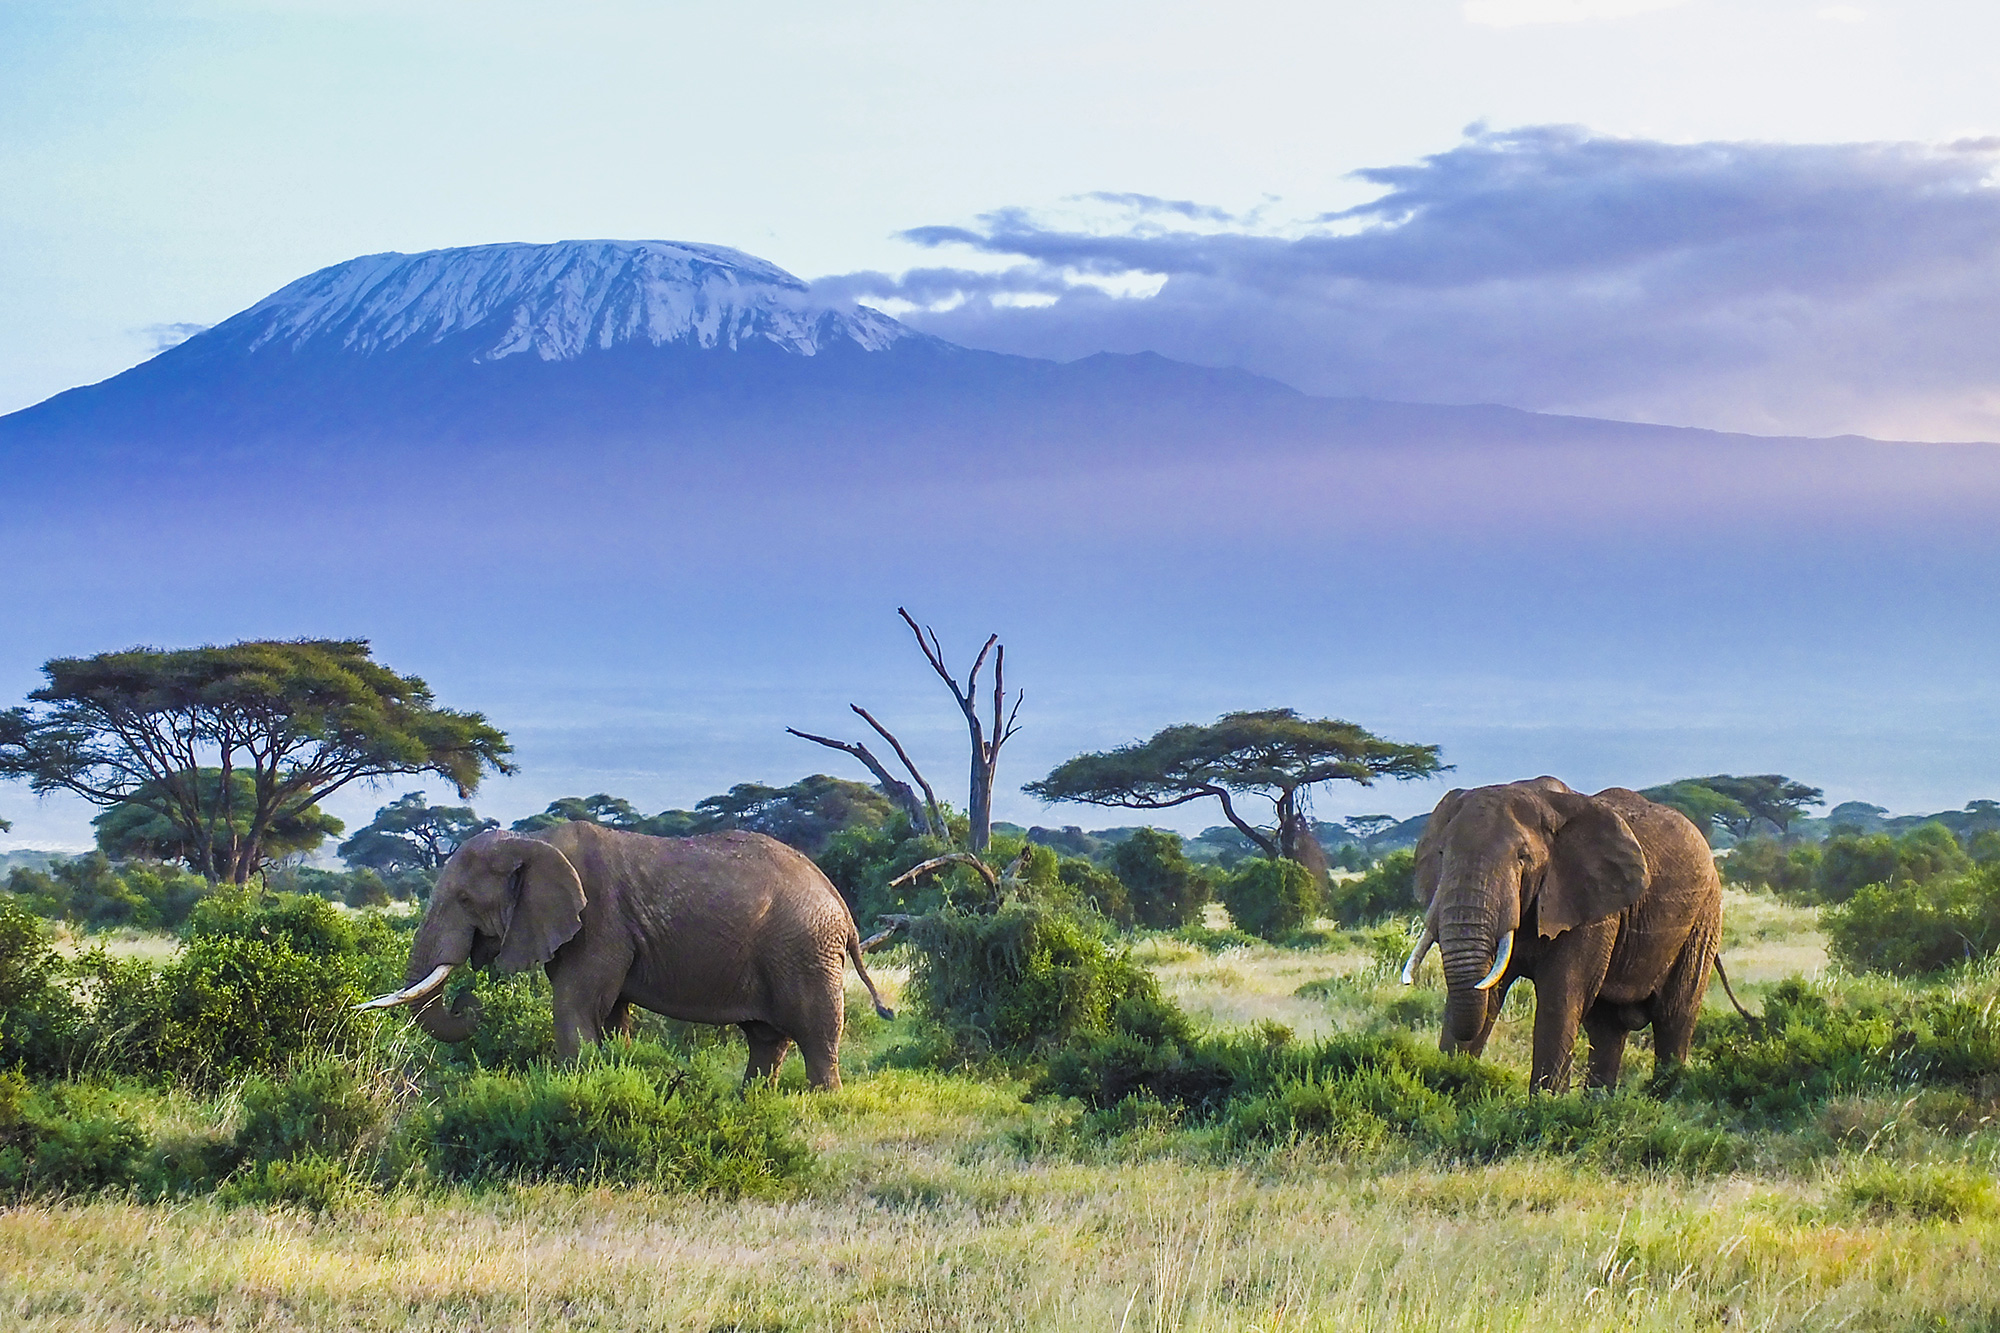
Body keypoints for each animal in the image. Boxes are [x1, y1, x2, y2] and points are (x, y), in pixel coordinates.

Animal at [355, 821, 894, 1089]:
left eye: (465, 900)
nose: (470, 1002)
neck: (534, 842)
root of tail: (841, 906)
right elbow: (610, 1013)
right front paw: (615, 1072)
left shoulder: (599, 921)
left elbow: (575, 1006)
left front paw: (575, 1088)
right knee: (766, 1037)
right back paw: (751, 1101)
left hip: (804, 948)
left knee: (815, 1032)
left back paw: (822, 1101)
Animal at [1401, 777, 1722, 1093]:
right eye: (1442, 854)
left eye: (1523, 857)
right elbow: (1488, 992)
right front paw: (1450, 1084)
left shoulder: (1590, 905)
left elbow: (1561, 996)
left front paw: (1545, 1103)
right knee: (1606, 1026)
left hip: (1704, 917)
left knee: (1674, 1015)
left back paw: (1663, 1095)